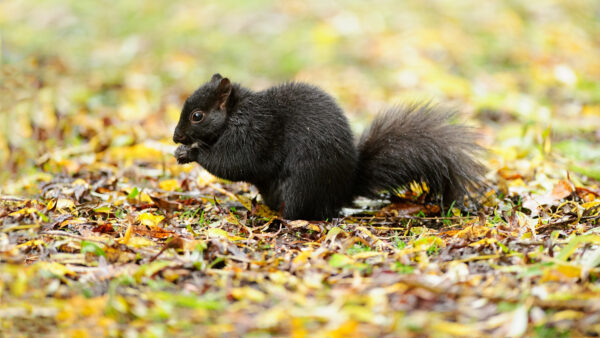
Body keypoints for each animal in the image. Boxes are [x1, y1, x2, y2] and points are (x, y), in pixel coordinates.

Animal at [172, 73, 482, 219]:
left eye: (197, 116)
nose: (176, 137)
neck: (236, 112)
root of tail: (343, 191)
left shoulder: (253, 133)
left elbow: (234, 163)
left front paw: (190, 152)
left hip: (302, 185)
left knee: (302, 213)